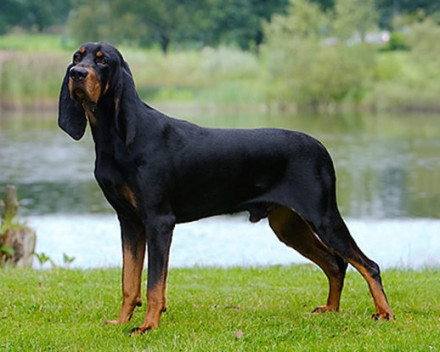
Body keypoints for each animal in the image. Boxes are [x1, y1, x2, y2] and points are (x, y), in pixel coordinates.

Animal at [58, 42, 396, 332]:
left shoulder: (158, 221)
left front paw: (148, 326)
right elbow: (129, 282)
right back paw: (331, 310)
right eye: (77, 57)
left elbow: (154, 284)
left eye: (103, 60)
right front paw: (121, 321)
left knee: (368, 265)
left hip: (323, 217)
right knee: (335, 263)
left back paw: (384, 313)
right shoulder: (129, 221)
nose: (77, 74)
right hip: (288, 225)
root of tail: (322, 148)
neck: (115, 139)